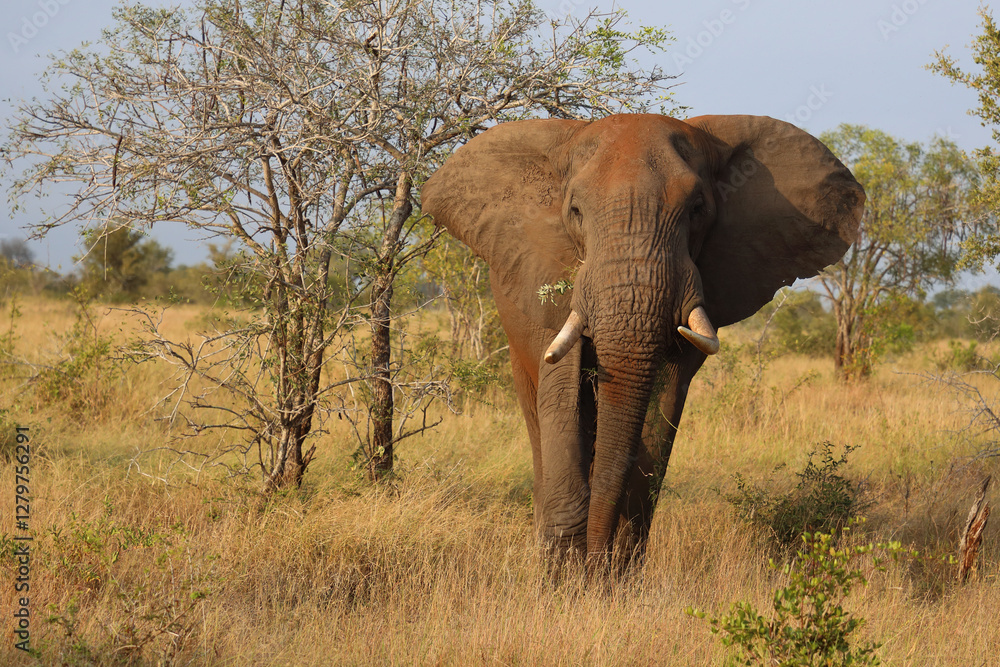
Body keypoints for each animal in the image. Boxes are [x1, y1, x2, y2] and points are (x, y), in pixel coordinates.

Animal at [421, 114, 865, 567]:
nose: (595, 560)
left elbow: (663, 404)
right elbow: (561, 392)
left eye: (698, 209)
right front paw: (567, 569)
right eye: (575, 211)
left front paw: (614, 568)